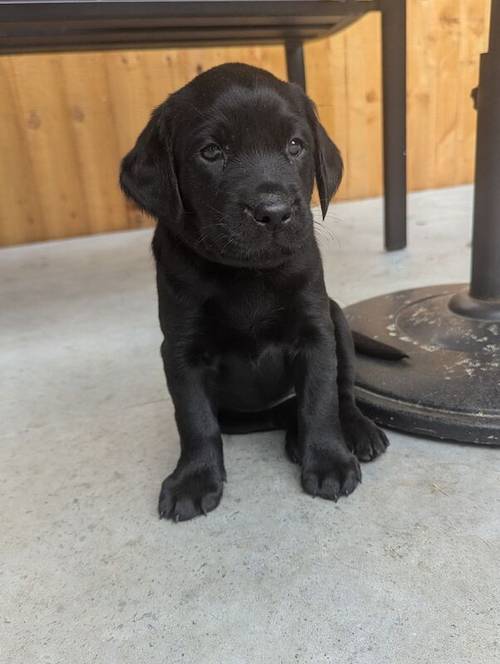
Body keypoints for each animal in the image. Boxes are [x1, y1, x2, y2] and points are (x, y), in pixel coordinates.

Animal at [120, 62, 390, 520]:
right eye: (211, 151)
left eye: (296, 145)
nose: (274, 212)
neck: (246, 275)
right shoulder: (180, 351)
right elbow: (195, 420)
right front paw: (194, 479)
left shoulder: (316, 334)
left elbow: (320, 400)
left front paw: (329, 461)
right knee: (272, 414)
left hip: (337, 316)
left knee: (341, 391)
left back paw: (352, 431)